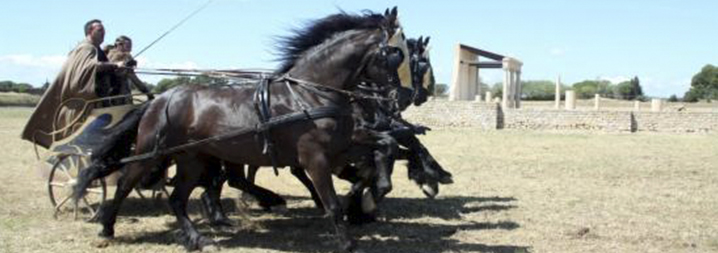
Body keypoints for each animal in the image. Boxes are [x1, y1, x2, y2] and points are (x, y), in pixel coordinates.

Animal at [75, 6, 410, 252]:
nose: (403, 96)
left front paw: (371, 194)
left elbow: (385, 148)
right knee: (125, 183)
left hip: (192, 159)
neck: (311, 94)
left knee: (178, 198)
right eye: (396, 55)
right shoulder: (314, 158)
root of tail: (160, 98)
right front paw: (347, 240)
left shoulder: (342, 147)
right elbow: (330, 203)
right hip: (151, 153)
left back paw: (198, 238)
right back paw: (106, 227)